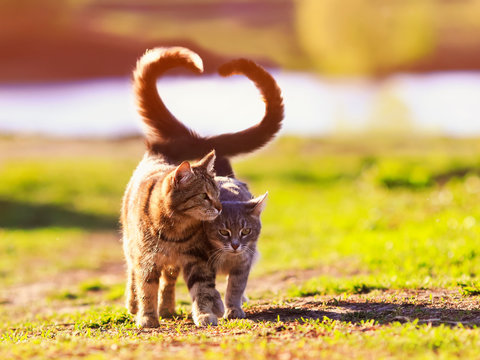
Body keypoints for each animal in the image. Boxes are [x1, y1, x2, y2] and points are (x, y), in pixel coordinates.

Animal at [203, 176, 268, 318]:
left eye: (246, 231)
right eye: (223, 232)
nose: (235, 245)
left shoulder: (242, 264)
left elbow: (235, 288)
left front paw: (233, 309)